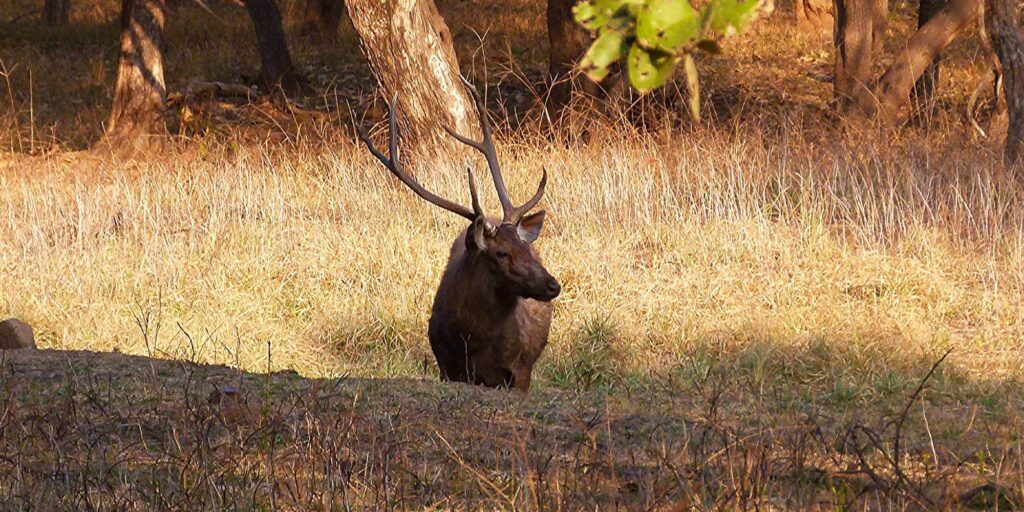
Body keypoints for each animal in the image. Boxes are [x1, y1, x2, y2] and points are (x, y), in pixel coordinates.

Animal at [354, 79, 561, 391]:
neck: (474, 342)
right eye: (501, 253)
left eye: (526, 249)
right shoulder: (447, 366)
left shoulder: (520, 369)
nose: (553, 285)